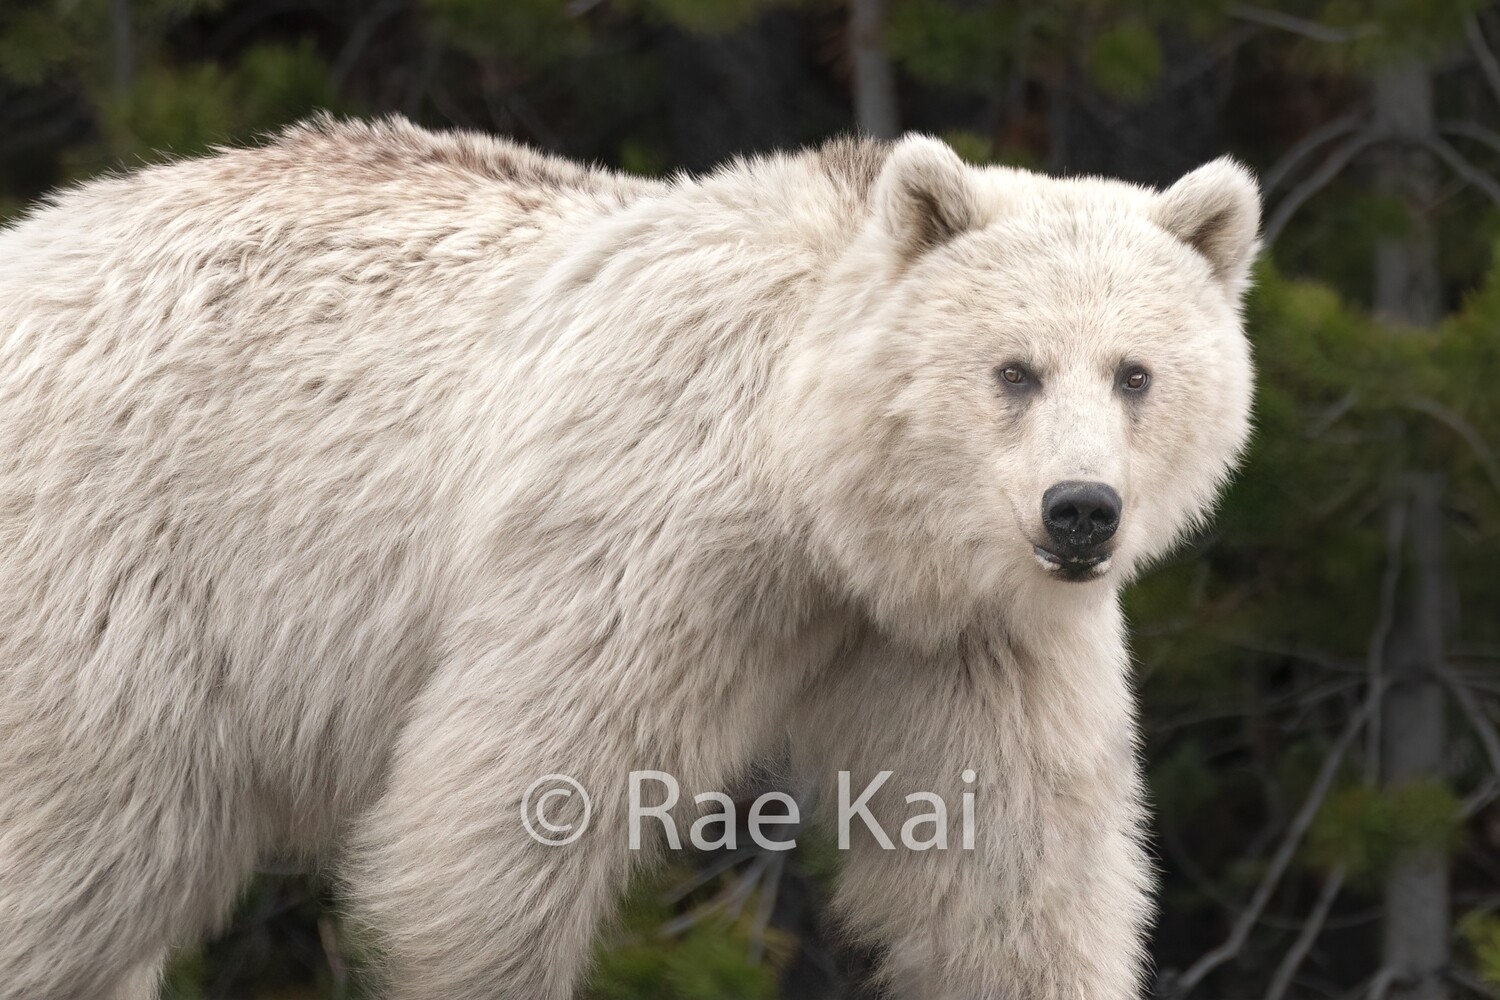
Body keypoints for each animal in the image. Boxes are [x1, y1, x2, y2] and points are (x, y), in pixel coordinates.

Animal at [0, 116, 1259, 1000]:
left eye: (1137, 373)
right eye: (1013, 369)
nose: (1081, 510)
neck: (819, 499)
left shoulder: (959, 635)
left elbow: (1008, 865)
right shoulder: (641, 539)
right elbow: (502, 810)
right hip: (120, 558)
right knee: (92, 839)